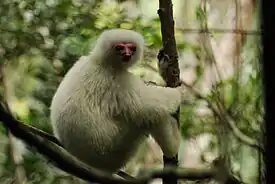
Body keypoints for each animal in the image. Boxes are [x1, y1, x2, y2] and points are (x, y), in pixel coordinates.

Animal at [50, 28, 187, 175]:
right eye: (119, 47)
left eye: (132, 48)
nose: (127, 54)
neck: (100, 61)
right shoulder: (118, 80)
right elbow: (147, 104)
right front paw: (180, 92)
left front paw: (163, 65)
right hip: (116, 145)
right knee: (148, 115)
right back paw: (173, 146)